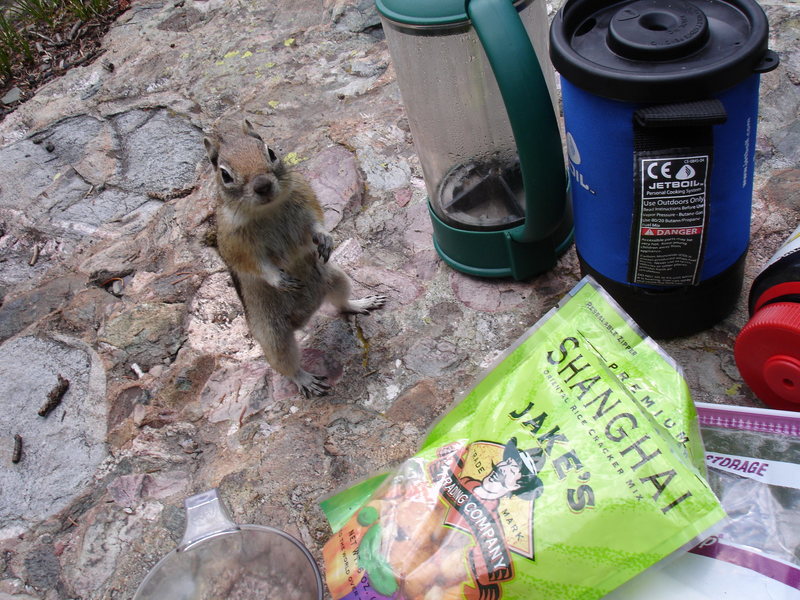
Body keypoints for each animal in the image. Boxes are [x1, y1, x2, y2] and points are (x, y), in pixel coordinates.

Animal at [203, 119, 384, 396]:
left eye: (271, 152)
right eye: (225, 175)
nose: (262, 185)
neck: (269, 209)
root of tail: (306, 316)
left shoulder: (305, 196)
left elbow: (316, 222)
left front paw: (325, 238)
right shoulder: (235, 244)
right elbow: (256, 265)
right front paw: (279, 280)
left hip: (336, 277)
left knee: (341, 304)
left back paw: (360, 303)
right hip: (273, 336)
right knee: (286, 365)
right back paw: (305, 379)